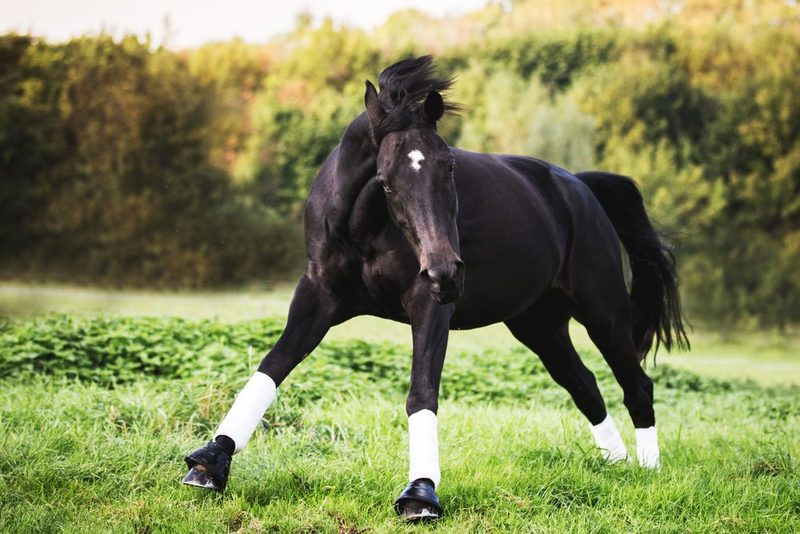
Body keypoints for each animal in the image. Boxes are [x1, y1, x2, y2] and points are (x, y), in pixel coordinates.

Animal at [182, 56, 689, 521]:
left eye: (448, 167)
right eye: (386, 180)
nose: (446, 271)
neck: (363, 228)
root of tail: (579, 188)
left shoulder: (428, 306)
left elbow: (421, 392)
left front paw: (420, 493)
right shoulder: (318, 297)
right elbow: (272, 366)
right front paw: (210, 462)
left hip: (602, 312)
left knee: (635, 384)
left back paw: (647, 472)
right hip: (539, 326)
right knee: (585, 386)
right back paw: (615, 464)